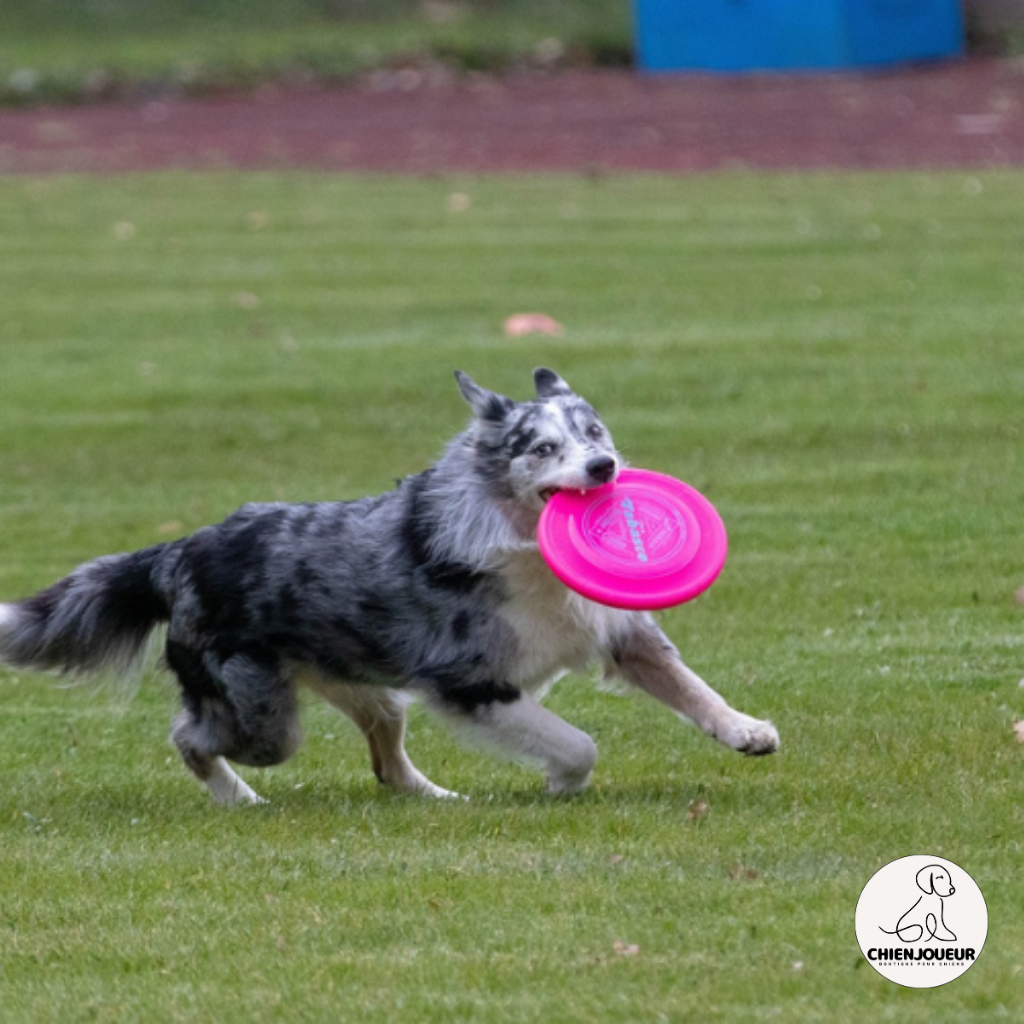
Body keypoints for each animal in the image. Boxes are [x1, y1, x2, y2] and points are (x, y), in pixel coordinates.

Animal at [0, 370, 778, 806]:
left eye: (595, 432)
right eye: (542, 448)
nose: (605, 468)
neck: (521, 542)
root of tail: (179, 550)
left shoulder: (620, 633)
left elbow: (690, 687)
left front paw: (746, 731)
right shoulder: (470, 683)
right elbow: (576, 743)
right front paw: (562, 782)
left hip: (372, 691)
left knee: (386, 761)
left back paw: (436, 797)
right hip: (265, 718)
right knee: (191, 736)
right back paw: (237, 798)